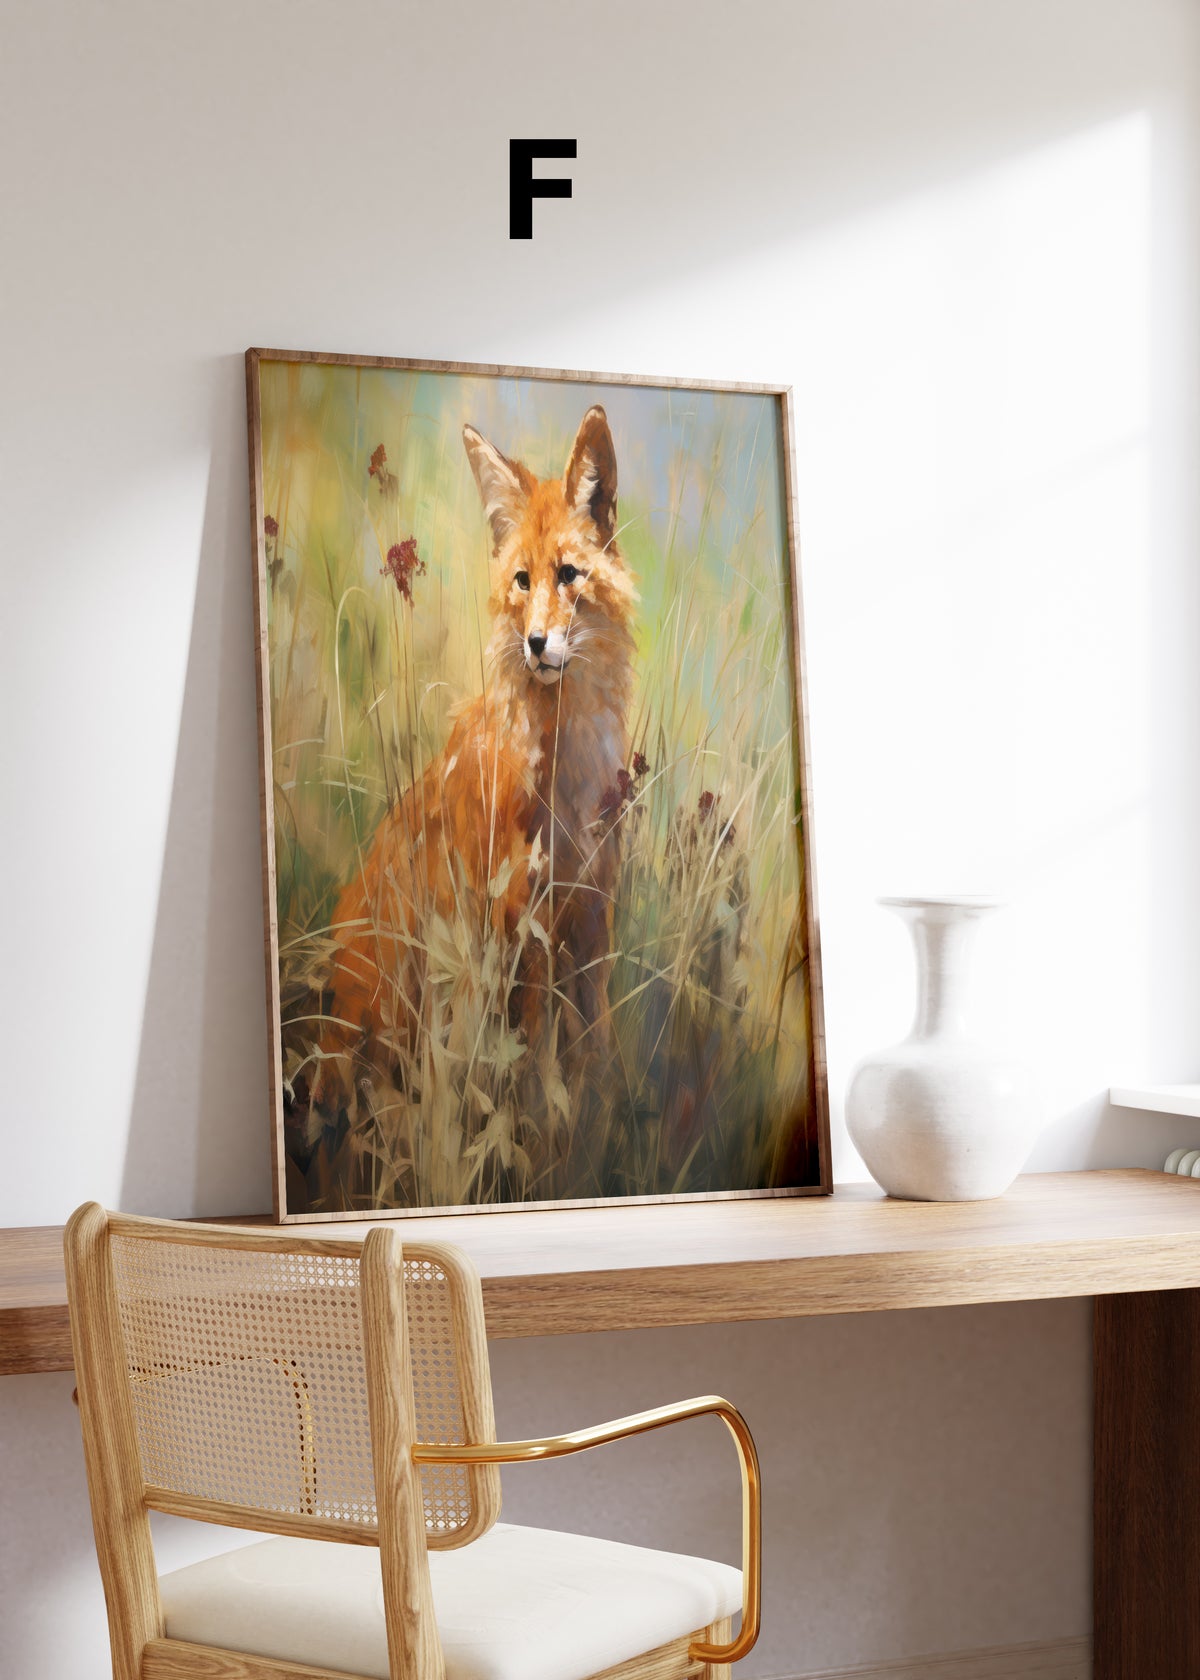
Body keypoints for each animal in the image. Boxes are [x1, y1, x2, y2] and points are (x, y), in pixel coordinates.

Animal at [315, 405, 637, 1092]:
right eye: (522, 581)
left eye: (568, 575)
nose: (537, 645)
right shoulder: (524, 914)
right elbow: (537, 1054)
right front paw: (547, 1109)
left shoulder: (592, 909)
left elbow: (596, 1042)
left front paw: (610, 1104)